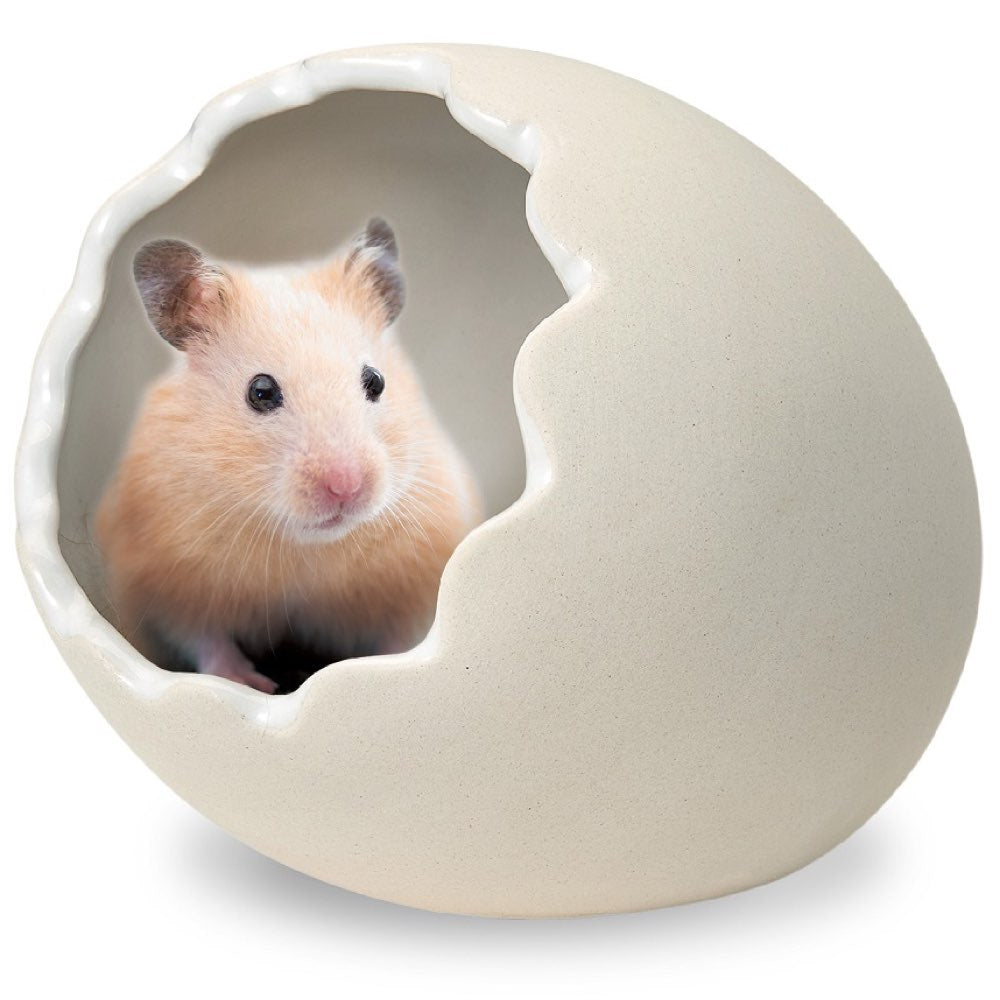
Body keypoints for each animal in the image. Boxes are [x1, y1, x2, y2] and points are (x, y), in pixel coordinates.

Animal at [95, 219, 482, 693]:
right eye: (260, 392)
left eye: (375, 381)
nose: (346, 487)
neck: (302, 545)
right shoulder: (163, 579)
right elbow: (204, 637)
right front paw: (252, 684)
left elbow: (402, 638)